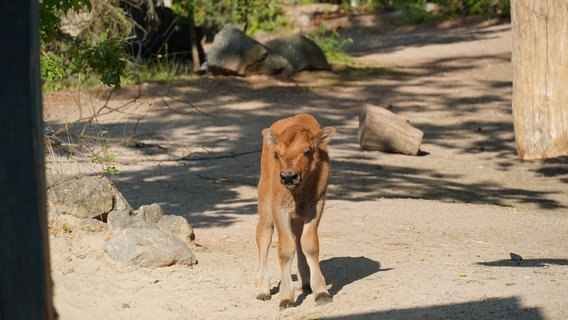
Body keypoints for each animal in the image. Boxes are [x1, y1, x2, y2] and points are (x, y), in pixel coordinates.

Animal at [255, 114, 336, 308]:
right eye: (277, 153)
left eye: (307, 151)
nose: (288, 177)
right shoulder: (280, 209)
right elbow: (285, 250)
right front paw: (286, 298)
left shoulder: (314, 207)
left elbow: (309, 245)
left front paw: (321, 292)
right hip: (265, 205)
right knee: (264, 236)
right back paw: (262, 290)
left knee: (298, 238)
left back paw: (305, 282)